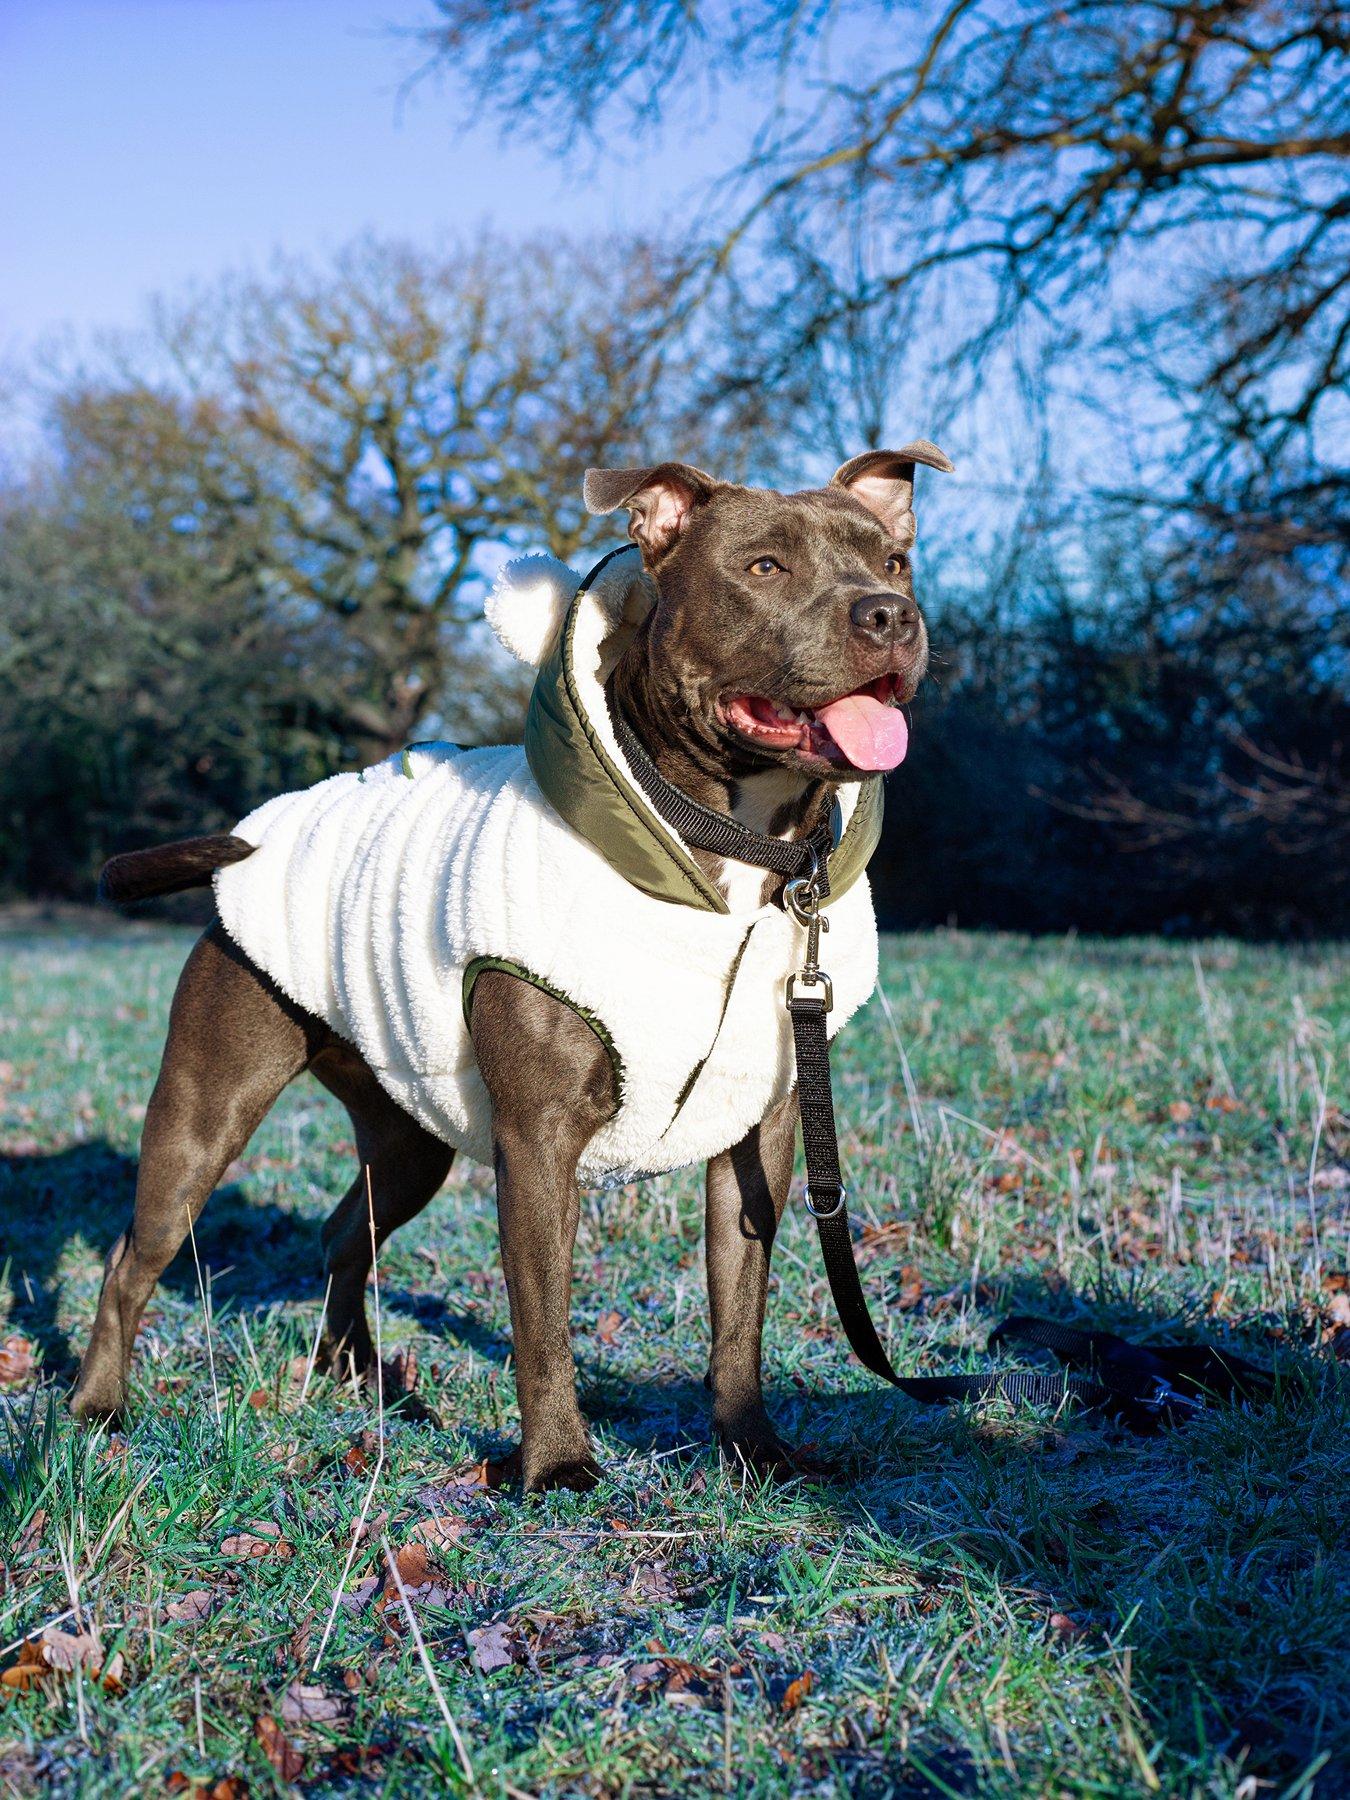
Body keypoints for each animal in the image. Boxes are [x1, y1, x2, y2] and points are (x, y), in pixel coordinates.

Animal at [66, 450, 950, 1490]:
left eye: (893, 563)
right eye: (764, 566)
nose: (889, 616)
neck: (734, 849)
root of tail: (249, 839)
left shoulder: (757, 1134)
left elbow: (740, 1311)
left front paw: (752, 1449)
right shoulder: (540, 1140)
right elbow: (542, 1320)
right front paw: (558, 1465)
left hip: (409, 1137)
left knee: (344, 1233)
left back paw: (357, 1377)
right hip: (207, 1110)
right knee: (134, 1255)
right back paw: (96, 1407)